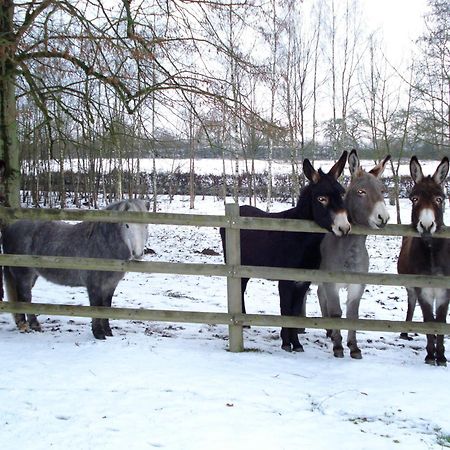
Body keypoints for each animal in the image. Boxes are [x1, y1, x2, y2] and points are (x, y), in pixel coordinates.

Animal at [2, 199, 149, 340]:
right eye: (127, 225)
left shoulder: (110, 285)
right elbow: (96, 307)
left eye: (146, 225)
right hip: (23, 275)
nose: (137, 254)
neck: (103, 244)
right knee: (25, 297)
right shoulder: (94, 285)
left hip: (32, 275)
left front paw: (108, 332)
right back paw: (30, 325)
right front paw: (98, 334)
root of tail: (10, 227)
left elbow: (106, 307)